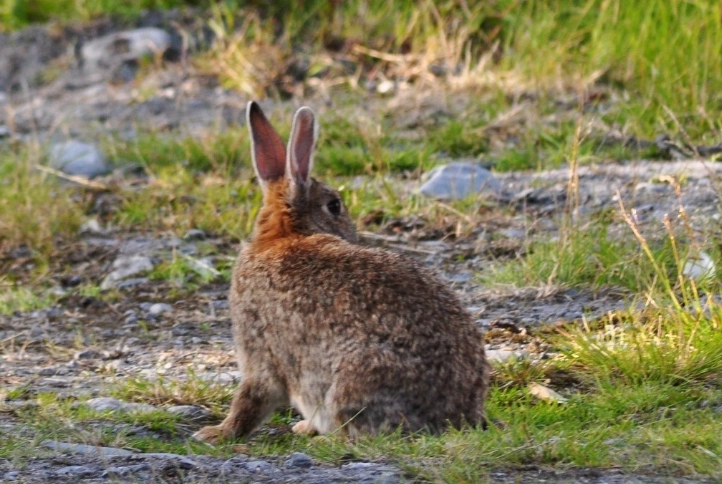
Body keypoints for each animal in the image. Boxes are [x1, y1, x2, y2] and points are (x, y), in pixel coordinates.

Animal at [192, 101, 490, 444]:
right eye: (334, 205)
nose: (353, 233)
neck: (286, 235)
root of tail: (457, 417)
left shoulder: (259, 349)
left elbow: (250, 400)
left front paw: (214, 434)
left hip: (353, 378)